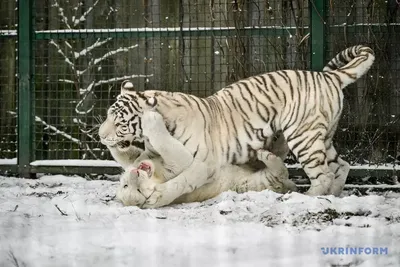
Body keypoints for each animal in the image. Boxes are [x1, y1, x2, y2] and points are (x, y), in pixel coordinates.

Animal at [115, 110, 296, 208]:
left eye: (126, 185)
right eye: (137, 190)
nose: (135, 174)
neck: (157, 172)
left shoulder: (139, 159)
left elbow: (125, 155)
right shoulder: (176, 167)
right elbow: (170, 148)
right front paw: (151, 118)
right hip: (253, 183)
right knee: (278, 175)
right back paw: (266, 155)